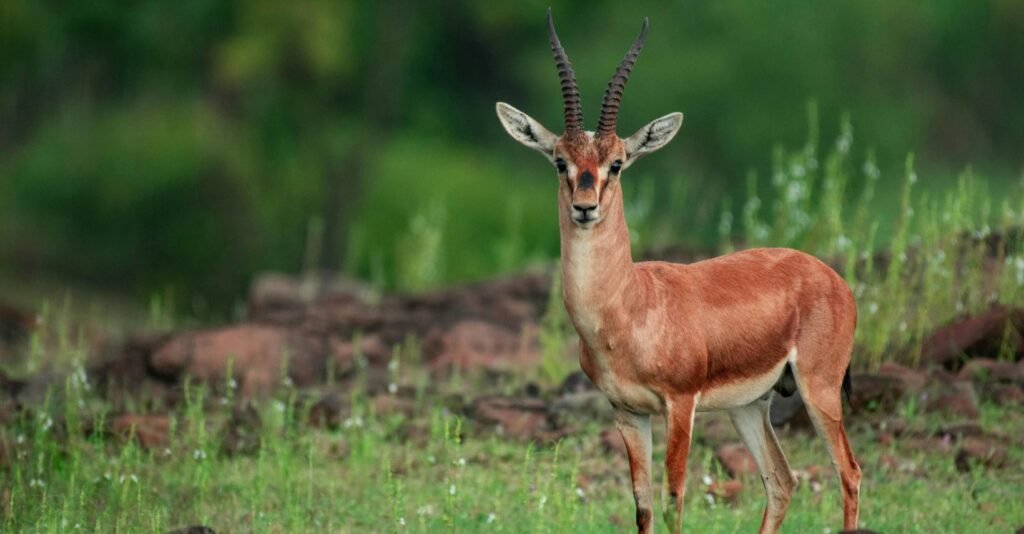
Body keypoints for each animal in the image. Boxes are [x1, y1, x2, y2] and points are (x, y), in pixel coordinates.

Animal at [495, 10, 861, 534]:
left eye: (617, 164)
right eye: (560, 161)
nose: (585, 207)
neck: (628, 308)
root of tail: (830, 277)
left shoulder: (681, 404)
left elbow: (673, 501)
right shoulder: (628, 412)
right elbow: (643, 504)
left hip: (819, 389)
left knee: (848, 472)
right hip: (750, 405)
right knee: (781, 480)